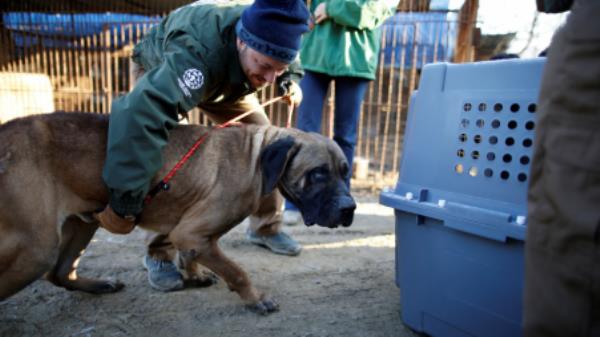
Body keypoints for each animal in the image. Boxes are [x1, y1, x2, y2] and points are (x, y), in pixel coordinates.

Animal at [0, 112, 356, 312]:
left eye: (345, 171)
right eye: (318, 174)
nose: (349, 208)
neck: (255, 156)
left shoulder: (192, 234)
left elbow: (191, 254)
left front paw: (195, 274)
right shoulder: (191, 232)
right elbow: (237, 271)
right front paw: (256, 298)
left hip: (82, 224)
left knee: (60, 274)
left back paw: (98, 284)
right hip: (36, 249)